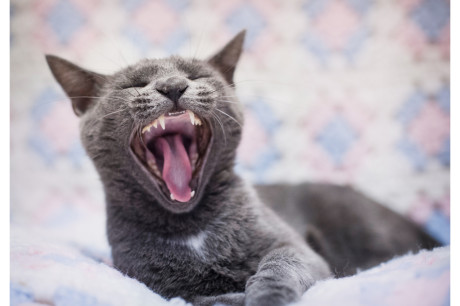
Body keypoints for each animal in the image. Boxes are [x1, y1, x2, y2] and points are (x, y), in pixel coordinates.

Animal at [46, 29, 438, 304]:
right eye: (135, 84)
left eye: (196, 75)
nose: (173, 85)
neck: (193, 227)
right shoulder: (150, 282)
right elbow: (199, 297)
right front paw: (231, 295)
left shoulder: (293, 244)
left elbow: (281, 264)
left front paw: (265, 294)